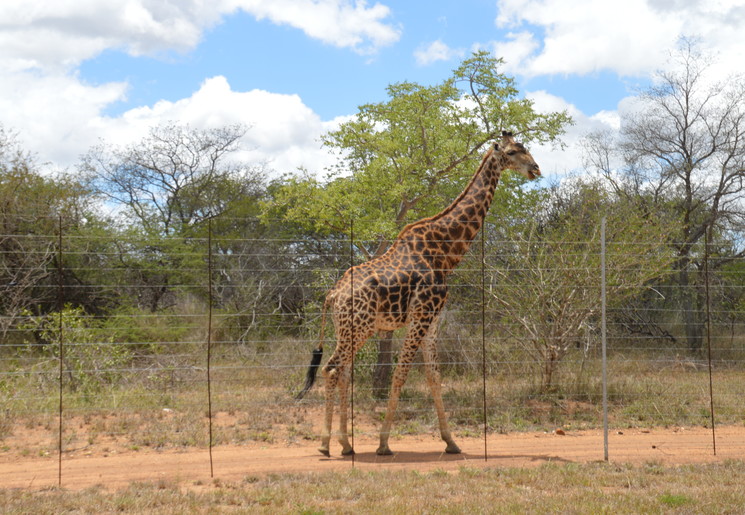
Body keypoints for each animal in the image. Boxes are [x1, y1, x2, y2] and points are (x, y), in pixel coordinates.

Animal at [296, 131, 541, 457]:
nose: (536, 169)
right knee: (333, 370)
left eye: (526, 148)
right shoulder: (422, 315)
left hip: (347, 328)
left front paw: (451, 442)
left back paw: (345, 445)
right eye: (513, 152)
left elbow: (434, 376)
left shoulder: (433, 320)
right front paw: (383, 443)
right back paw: (327, 444)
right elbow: (400, 374)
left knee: (343, 372)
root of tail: (331, 296)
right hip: (359, 327)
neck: (444, 253)